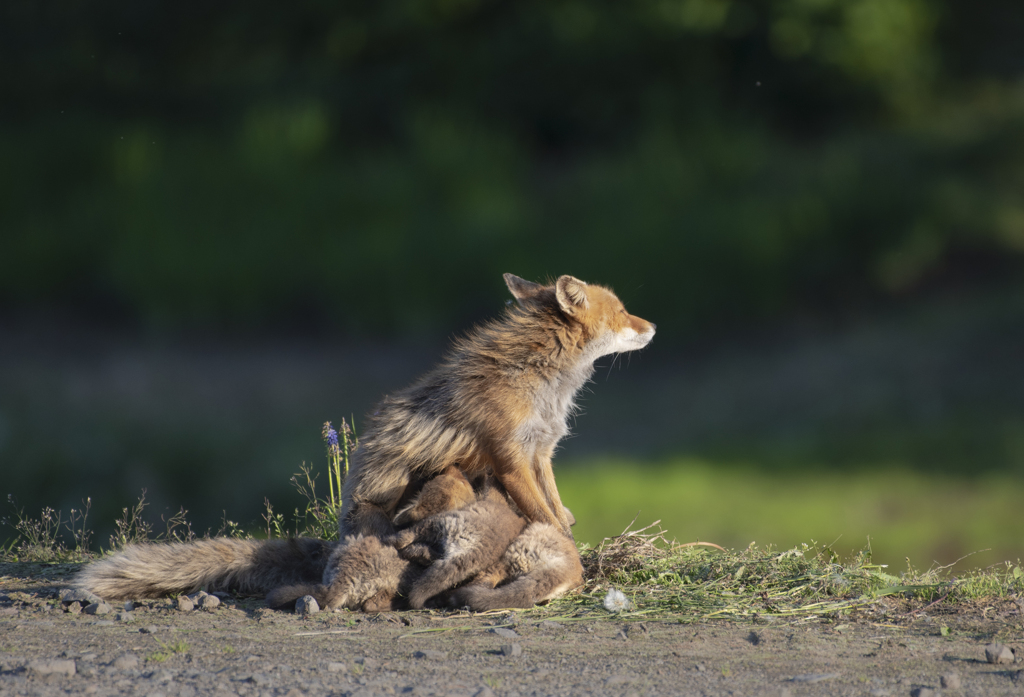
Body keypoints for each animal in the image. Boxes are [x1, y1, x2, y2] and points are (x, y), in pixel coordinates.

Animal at [339, 272, 651, 536]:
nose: (654, 326)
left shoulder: (541, 453)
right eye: (622, 312)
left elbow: (558, 516)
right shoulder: (511, 463)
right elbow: (548, 519)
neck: (537, 384)